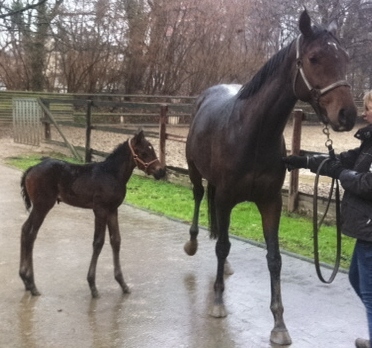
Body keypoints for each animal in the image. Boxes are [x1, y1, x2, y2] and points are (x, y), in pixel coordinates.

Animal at [19, 129, 165, 298]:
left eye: (152, 149)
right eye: (144, 152)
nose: (161, 171)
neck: (111, 174)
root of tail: (31, 169)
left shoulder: (112, 209)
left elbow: (116, 241)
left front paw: (123, 284)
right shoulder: (100, 209)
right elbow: (98, 242)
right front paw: (93, 286)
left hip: (39, 207)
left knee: (25, 230)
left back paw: (25, 280)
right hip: (42, 206)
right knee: (31, 234)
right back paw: (32, 284)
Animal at [183, 9, 358, 346]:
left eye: (345, 58)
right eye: (314, 58)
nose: (347, 116)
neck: (252, 133)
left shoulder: (270, 202)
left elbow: (274, 258)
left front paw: (279, 323)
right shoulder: (226, 198)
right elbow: (222, 246)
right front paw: (218, 303)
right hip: (197, 174)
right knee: (199, 199)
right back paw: (193, 244)